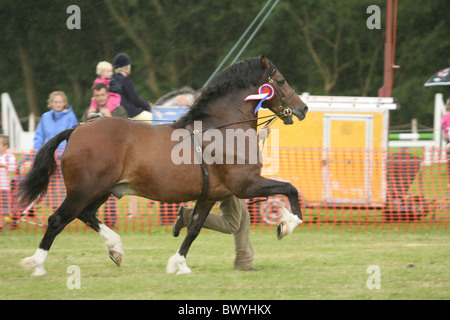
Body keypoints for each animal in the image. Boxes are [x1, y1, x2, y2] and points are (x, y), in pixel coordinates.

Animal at [16, 55, 306, 276]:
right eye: (280, 81)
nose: (302, 108)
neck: (224, 128)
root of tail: (77, 129)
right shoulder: (246, 185)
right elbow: (290, 189)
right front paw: (286, 224)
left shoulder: (212, 195)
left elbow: (194, 229)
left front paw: (178, 264)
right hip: (84, 190)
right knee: (57, 220)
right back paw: (36, 264)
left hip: (103, 190)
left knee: (85, 215)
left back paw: (116, 249)